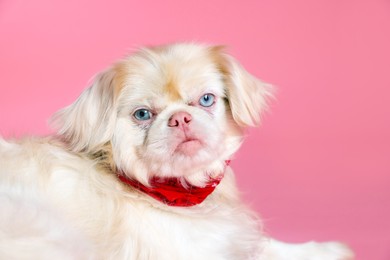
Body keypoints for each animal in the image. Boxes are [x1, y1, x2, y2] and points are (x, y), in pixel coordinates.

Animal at [0, 43, 354, 258]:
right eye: (143, 114)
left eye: (206, 99)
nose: (180, 117)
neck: (181, 192)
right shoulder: (194, 249)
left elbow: (266, 244)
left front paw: (325, 249)